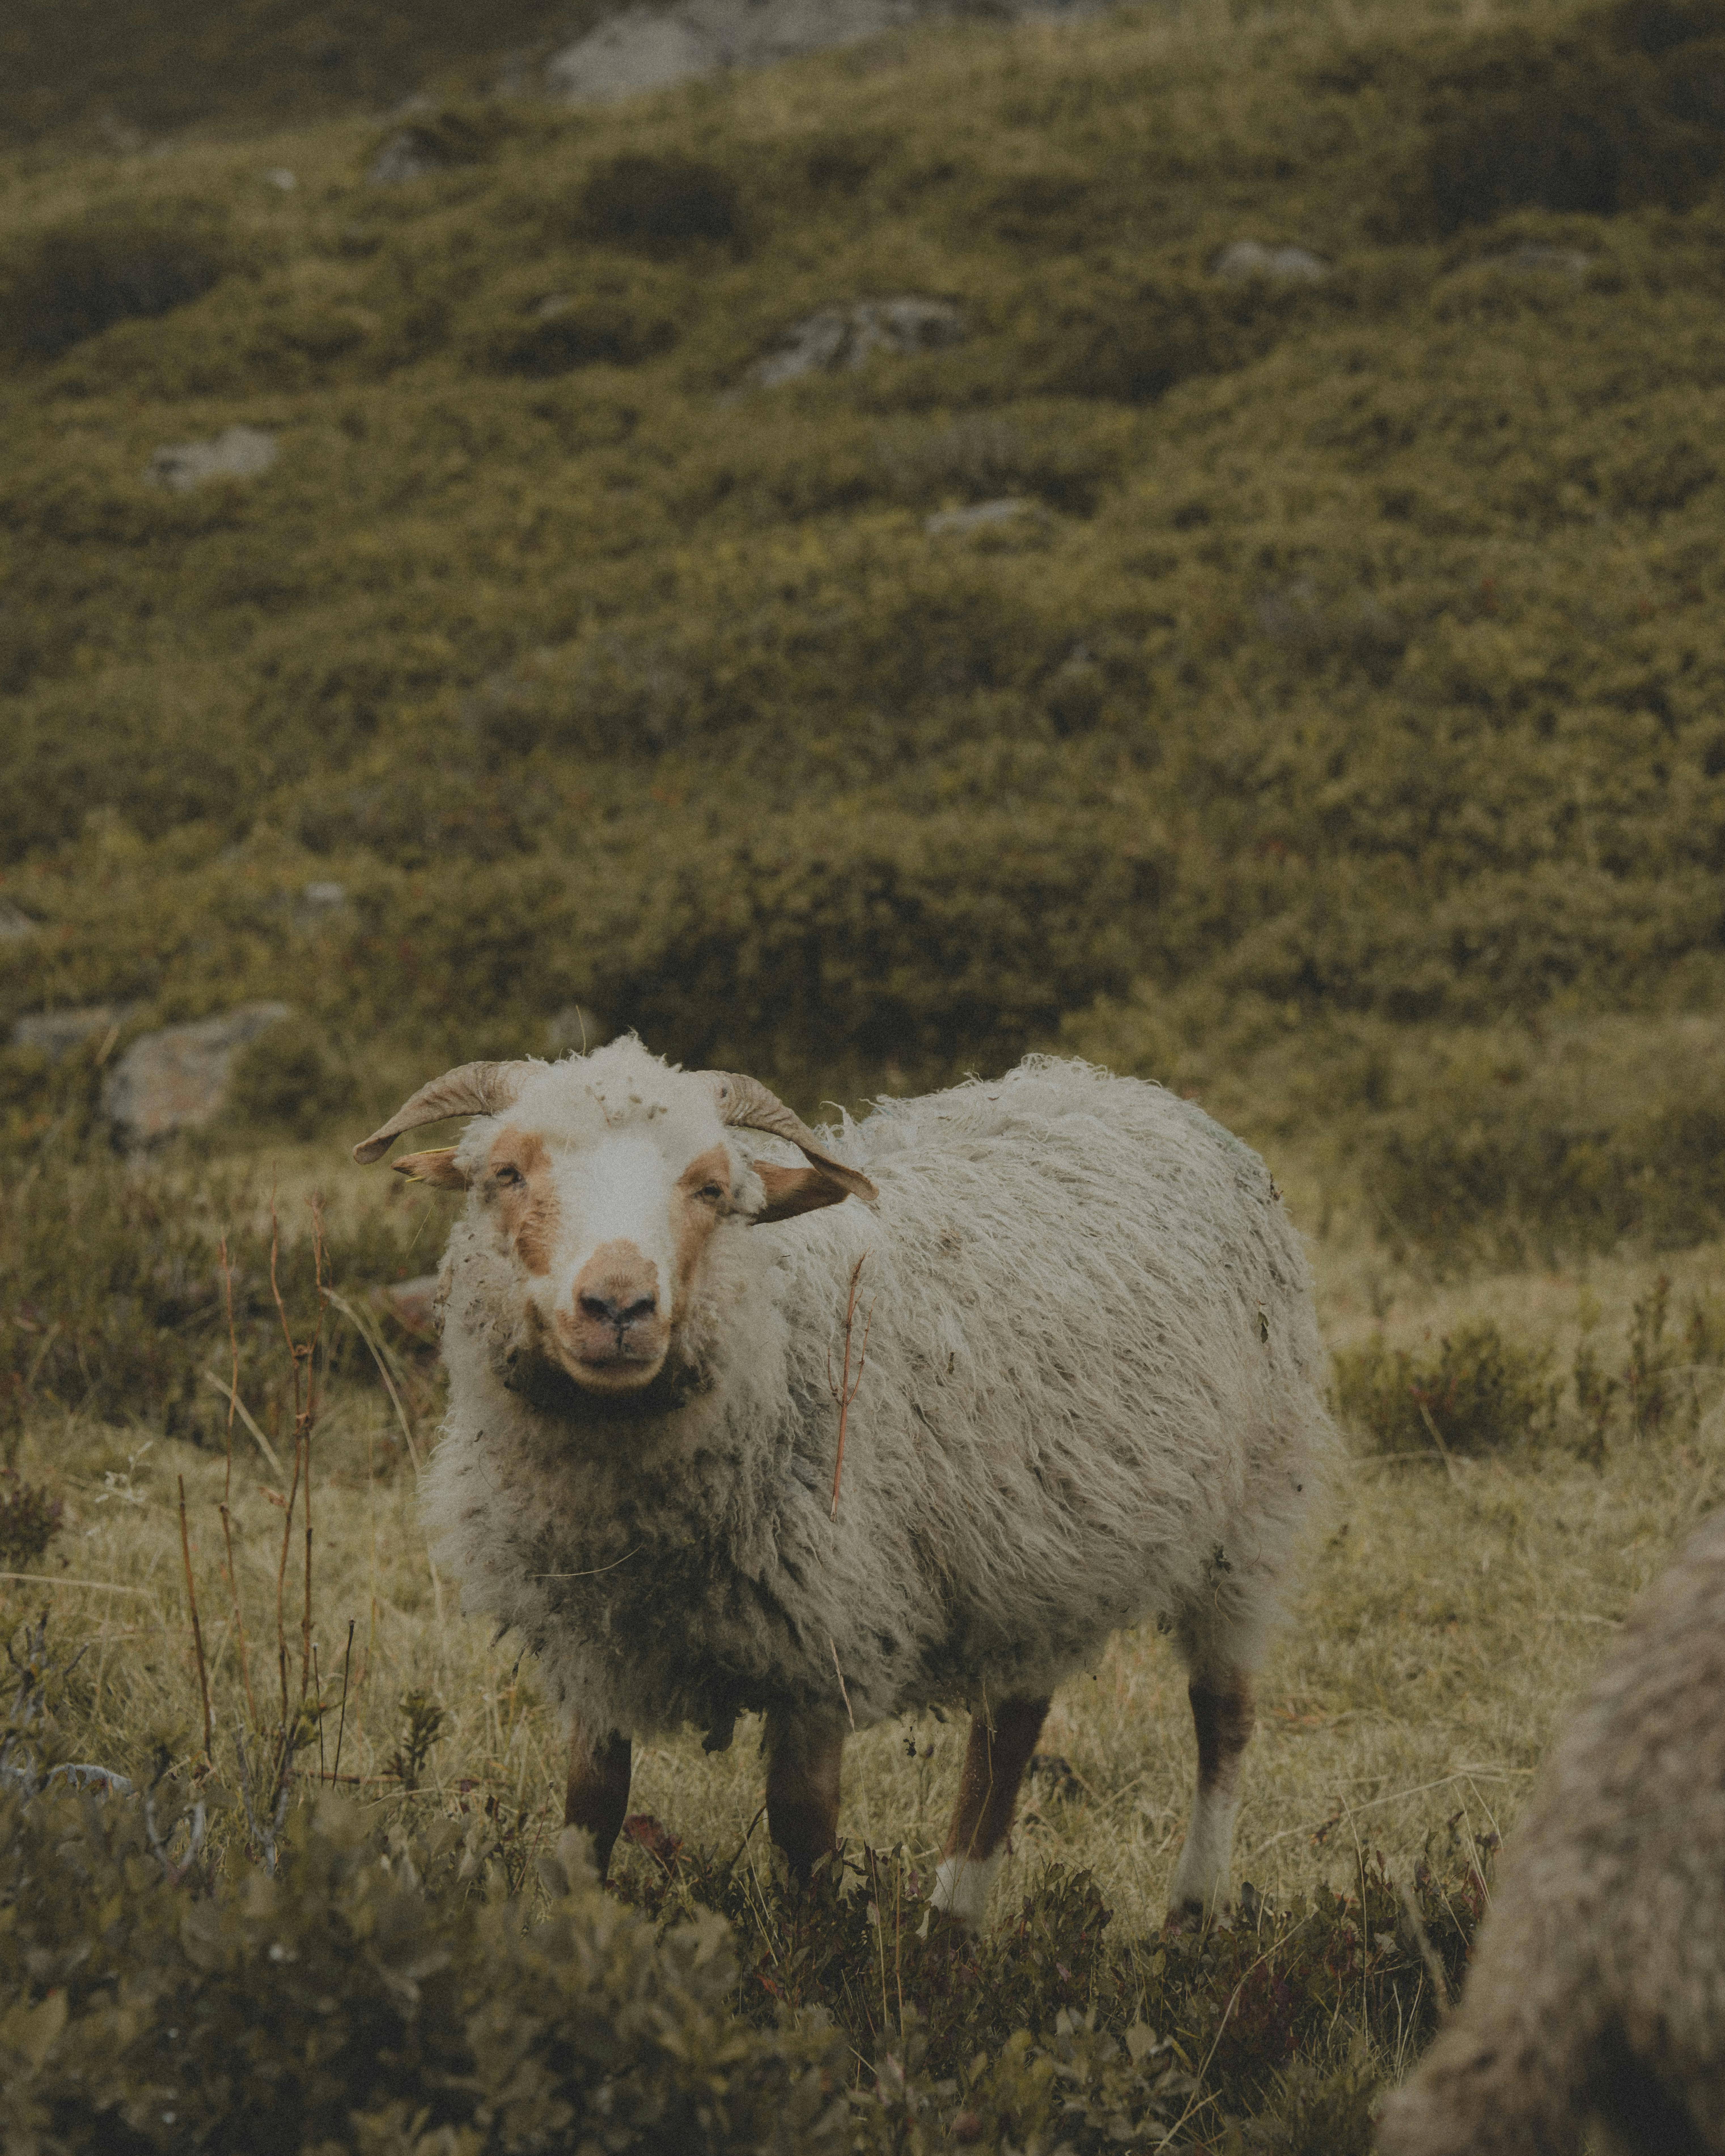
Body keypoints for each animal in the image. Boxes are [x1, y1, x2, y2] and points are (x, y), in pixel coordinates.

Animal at [354, 1037, 1334, 1925]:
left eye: (713, 1189)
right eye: (507, 1172)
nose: (619, 1306)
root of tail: (1125, 1088)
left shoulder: (825, 1639)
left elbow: (802, 1831)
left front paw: (819, 1963)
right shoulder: (591, 1641)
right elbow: (589, 1815)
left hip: (1247, 1523)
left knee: (1222, 1720)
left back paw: (1190, 1910)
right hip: (1033, 1552)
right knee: (1010, 1733)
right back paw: (951, 1925)